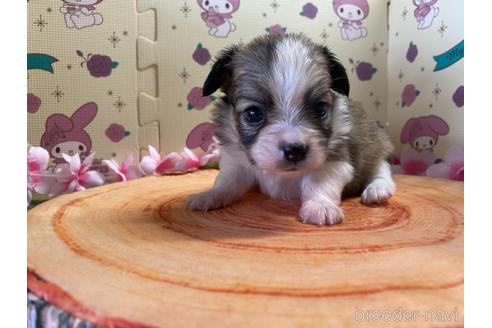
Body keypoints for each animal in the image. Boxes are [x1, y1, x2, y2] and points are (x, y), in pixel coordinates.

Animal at [186, 35, 394, 226]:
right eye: (253, 113)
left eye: (320, 109)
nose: (295, 151)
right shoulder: (237, 162)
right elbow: (226, 182)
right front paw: (210, 195)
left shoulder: (334, 159)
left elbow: (318, 182)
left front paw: (319, 206)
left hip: (373, 146)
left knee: (381, 167)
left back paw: (378, 189)